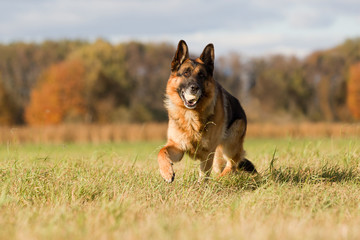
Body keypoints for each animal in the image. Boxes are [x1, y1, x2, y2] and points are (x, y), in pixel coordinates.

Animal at [158, 40, 256, 182]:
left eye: (201, 75)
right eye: (186, 73)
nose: (194, 88)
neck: (191, 116)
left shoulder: (207, 153)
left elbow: (203, 177)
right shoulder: (178, 146)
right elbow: (162, 151)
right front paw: (167, 172)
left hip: (230, 144)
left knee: (231, 166)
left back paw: (219, 181)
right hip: (218, 157)